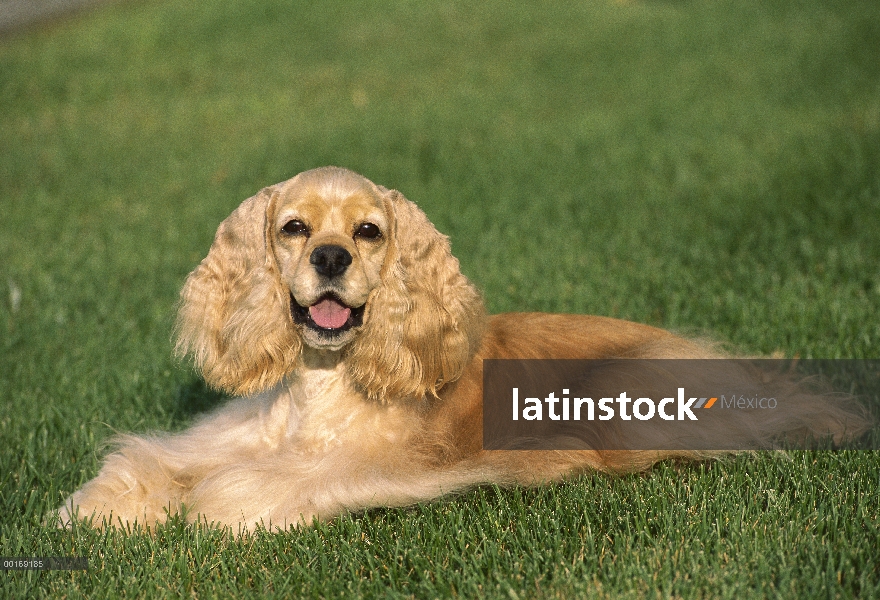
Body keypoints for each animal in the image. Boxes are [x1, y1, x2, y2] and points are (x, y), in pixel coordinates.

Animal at [56, 166, 872, 532]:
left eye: (369, 231)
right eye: (293, 227)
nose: (329, 258)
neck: (324, 386)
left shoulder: (368, 468)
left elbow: (236, 492)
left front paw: (196, 508)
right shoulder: (229, 435)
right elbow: (157, 462)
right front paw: (104, 504)